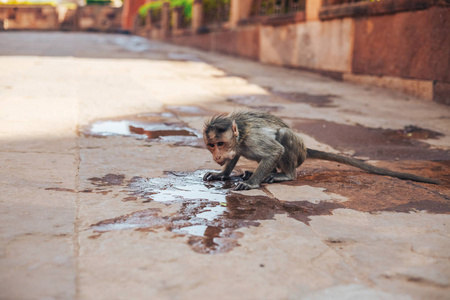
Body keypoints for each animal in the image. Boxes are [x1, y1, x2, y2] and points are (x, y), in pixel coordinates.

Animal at [202, 110, 442, 190]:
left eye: (220, 144)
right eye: (211, 145)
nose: (217, 155)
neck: (240, 135)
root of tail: (306, 149)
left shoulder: (253, 139)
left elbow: (274, 151)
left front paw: (252, 184)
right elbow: (236, 156)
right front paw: (221, 174)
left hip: (298, 152)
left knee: (284, 135)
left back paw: (284, 175)